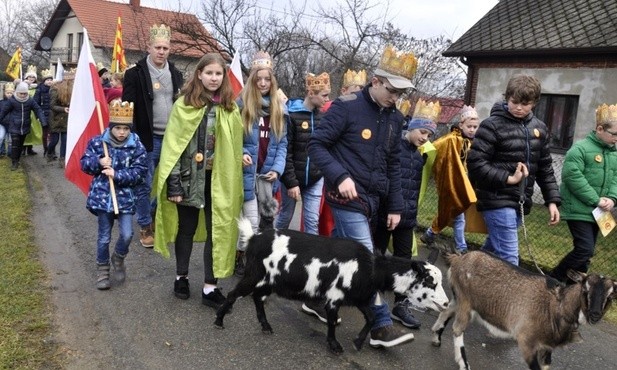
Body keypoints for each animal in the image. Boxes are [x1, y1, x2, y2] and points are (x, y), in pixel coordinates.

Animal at [214, 218, 446, 354]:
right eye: (429, 281)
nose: (445, 303)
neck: (370, 268)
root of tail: (254, 238)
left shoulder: (358, 297)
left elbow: (371, 317)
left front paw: (357, 343)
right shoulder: (334, 298)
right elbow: (333, 322)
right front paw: (335, 346)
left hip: (270, 280)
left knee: (258, 298)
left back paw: (265, 326)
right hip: (254, 274)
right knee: (234, 293)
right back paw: (219, 321)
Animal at [428, 250, 616, 368]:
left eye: (611, 296)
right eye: (585, 289)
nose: (595, 315)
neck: (556, 306)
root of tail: (458, 259)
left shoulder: (547, 347)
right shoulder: (527, 341)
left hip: (460, 299)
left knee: (446, 310)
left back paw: (436, 339)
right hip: (466, 301)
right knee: (457, 328)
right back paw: (464, 364)